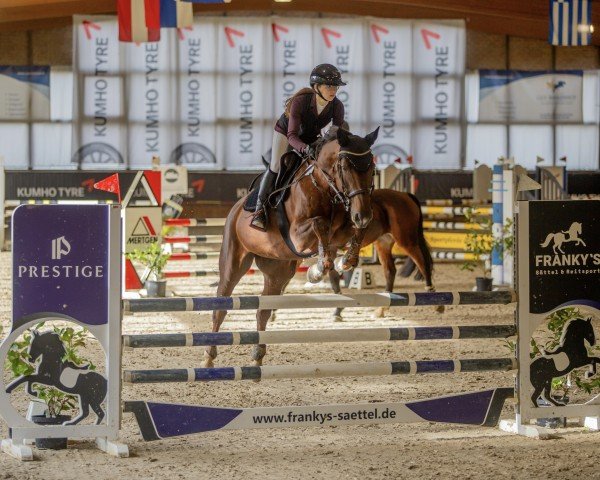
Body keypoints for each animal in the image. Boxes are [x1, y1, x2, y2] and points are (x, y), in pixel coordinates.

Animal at [204, 127, 378, 368]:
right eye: (344, 167)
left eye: (372, 167)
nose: (363, 214)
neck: (323, 186)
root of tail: (236, 209)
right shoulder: (298, 236)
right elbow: (319, 224)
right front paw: (318, 269)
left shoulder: (340, 231)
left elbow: (350, 232)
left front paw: (346, 260)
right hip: (233, 261)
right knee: (220, 306)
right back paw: (209, 358)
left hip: (278, 271)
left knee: (263, 311)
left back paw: (258, 357)